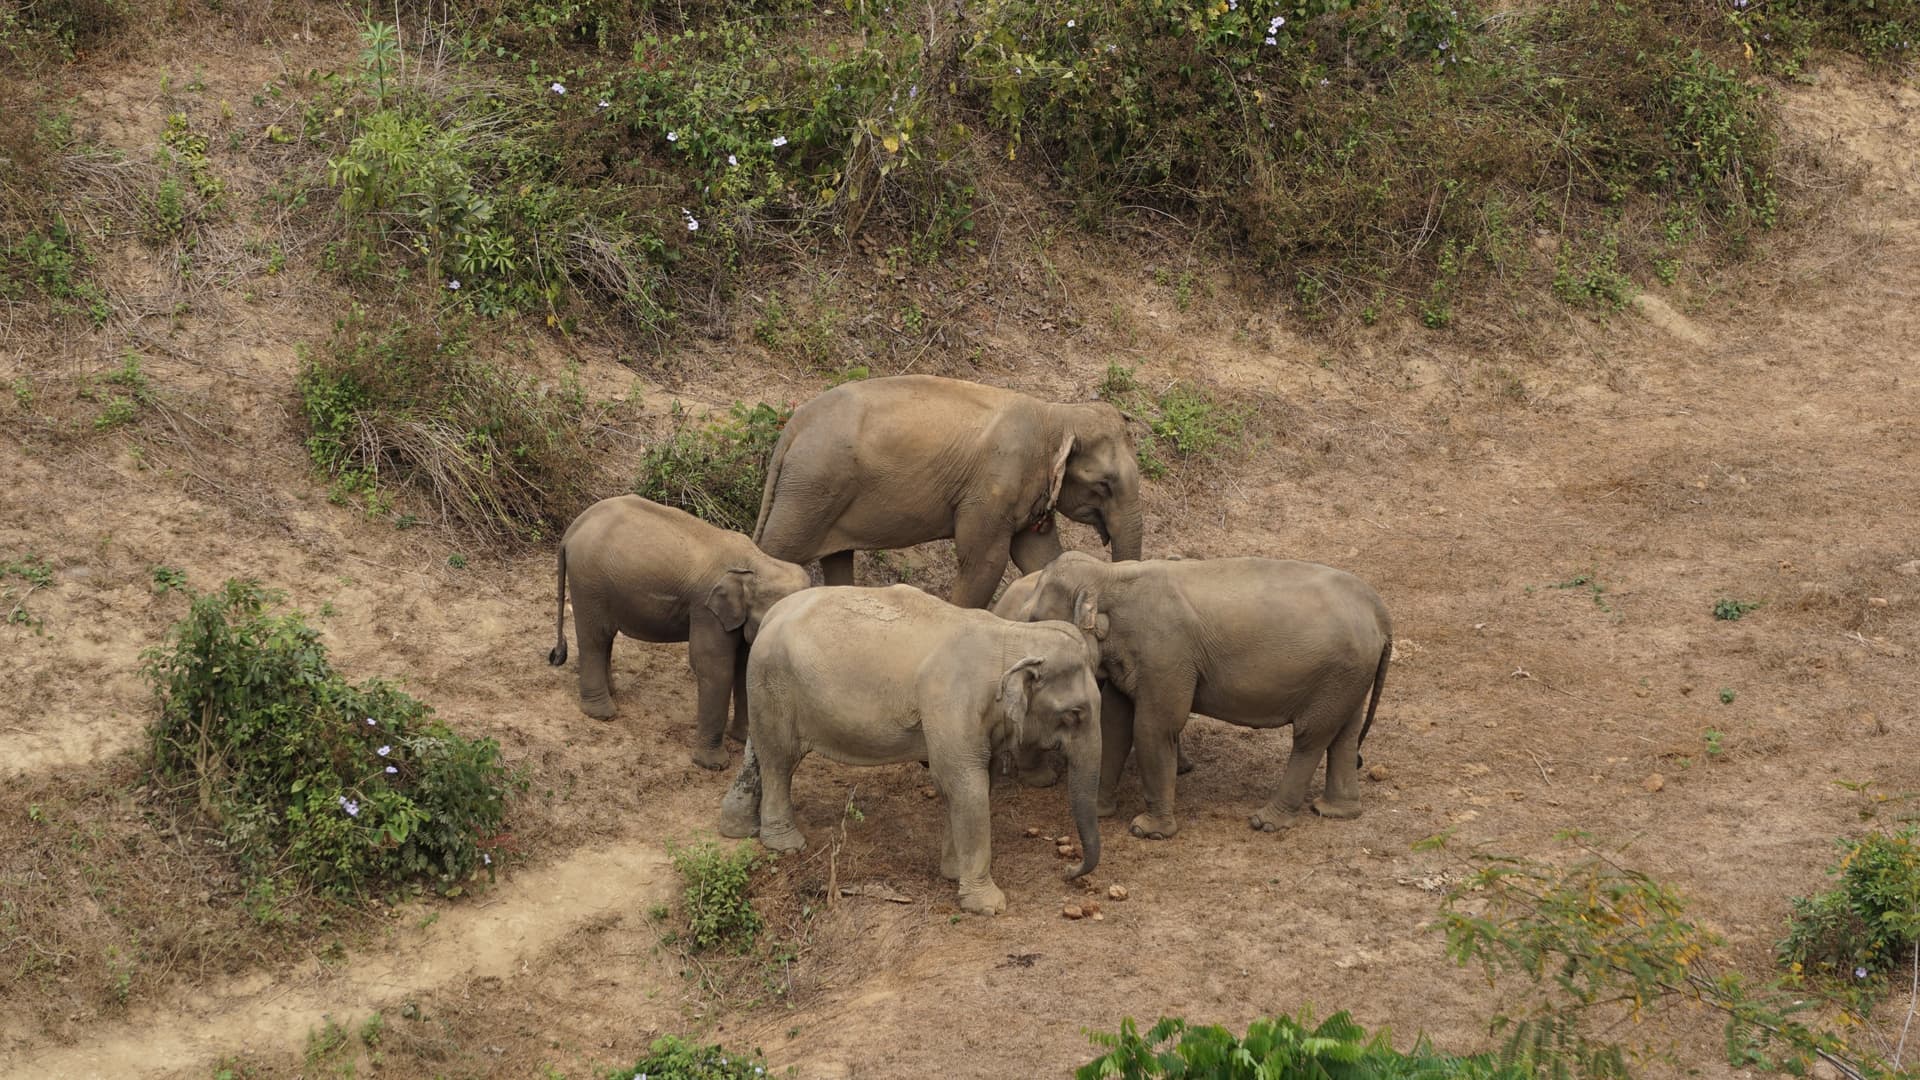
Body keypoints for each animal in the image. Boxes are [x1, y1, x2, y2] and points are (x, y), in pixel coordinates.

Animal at [547, 495, 812, 770]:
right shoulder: (706, 610)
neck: (759, 561)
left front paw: (742, 739)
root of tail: (573, 528)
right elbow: (714, 667)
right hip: (589, 581)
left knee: (605, 637)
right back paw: (603, 714)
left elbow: (744, 665)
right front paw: (713, 765)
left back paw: (613, 692)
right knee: (596, 637)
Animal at [717, 584, 1104, 915]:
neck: (1010, 636)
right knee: (780, 760)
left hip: (765, 685)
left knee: (759, 752)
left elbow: (974, 784)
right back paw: (785, 844)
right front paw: (989, 905)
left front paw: (953, 873)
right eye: (1074, 714)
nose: (1068, 870)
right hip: (775, 682)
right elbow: (965, 784)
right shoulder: (950, 704)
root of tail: (773, 613)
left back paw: (738, 828)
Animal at [752, 374, 1144, 609]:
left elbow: (1041, 557)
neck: (1056, 416)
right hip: (812, 487)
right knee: (776, 550)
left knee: (836, 559)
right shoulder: (992, 489)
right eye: (1104, 484)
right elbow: (984, 562)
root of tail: (793, 427)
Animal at [994, 551, 1391, 841]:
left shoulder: (1166, 653)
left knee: (1311, 736)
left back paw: (1266, 821)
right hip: (1349, 677)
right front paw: (1100, 811)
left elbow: (1154, 727)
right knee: (1344, 734)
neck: (1110, 576)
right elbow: (1115, 724)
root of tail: (1379, 609)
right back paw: (1335, 811)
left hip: (1337, 673)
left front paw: (1148, 831)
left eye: (1035, 620)